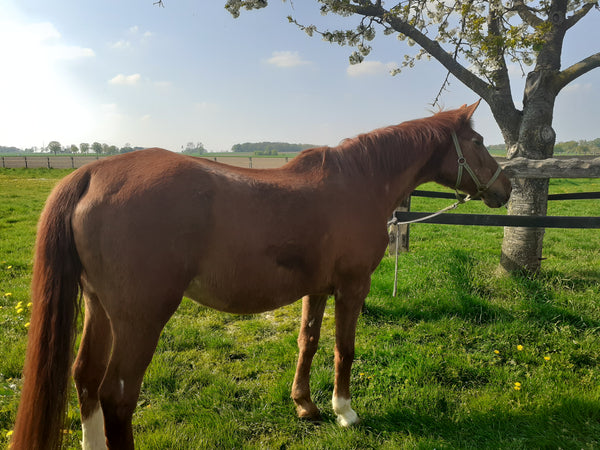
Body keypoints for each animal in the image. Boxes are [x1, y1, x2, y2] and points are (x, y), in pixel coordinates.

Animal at [10, 101, 510, 450]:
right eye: (479, 140)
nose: (504, 189)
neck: (359, 182)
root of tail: (92, 173)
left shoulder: (317, 289)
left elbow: (308, 342)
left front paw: (305, 405)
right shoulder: (352, 287)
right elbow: (344, 349)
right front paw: (344, 411)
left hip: (100, 310)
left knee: (85, 378)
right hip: (140, 320)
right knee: (115, 395)